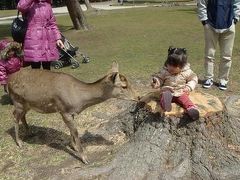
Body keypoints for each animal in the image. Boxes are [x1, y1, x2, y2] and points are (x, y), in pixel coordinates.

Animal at [7, 62, 137, 165]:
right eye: (124, 86)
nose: (138, 96)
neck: (79, 101)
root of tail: (8, 81)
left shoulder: (71, 112)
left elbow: (71, 131)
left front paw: (73, 146)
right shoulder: (64, 110)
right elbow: (75, 132)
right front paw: (84, 158)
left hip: (27, 104)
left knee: (22, 116)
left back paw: (29, 132)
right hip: (17, 101)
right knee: (14, 116)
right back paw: (19, 142)